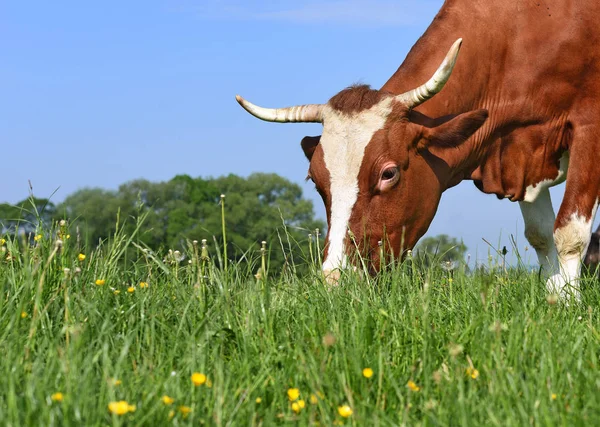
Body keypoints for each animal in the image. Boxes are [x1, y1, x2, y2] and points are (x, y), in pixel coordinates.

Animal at [237, 0, 600, 300]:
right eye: (315, 180)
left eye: (388, 173)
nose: (336, 280)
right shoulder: (522, 152)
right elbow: (541, 235)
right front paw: (554, 302)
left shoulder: (589, 128)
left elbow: (569, 234)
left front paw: (570, 309)